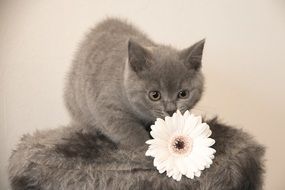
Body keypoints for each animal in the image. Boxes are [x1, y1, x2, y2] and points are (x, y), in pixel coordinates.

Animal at [65, 18, 204, 148]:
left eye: (183, 94)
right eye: (154, 95)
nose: (171, 110)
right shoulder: (107, 107)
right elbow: (129, 131)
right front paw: (143, 149)